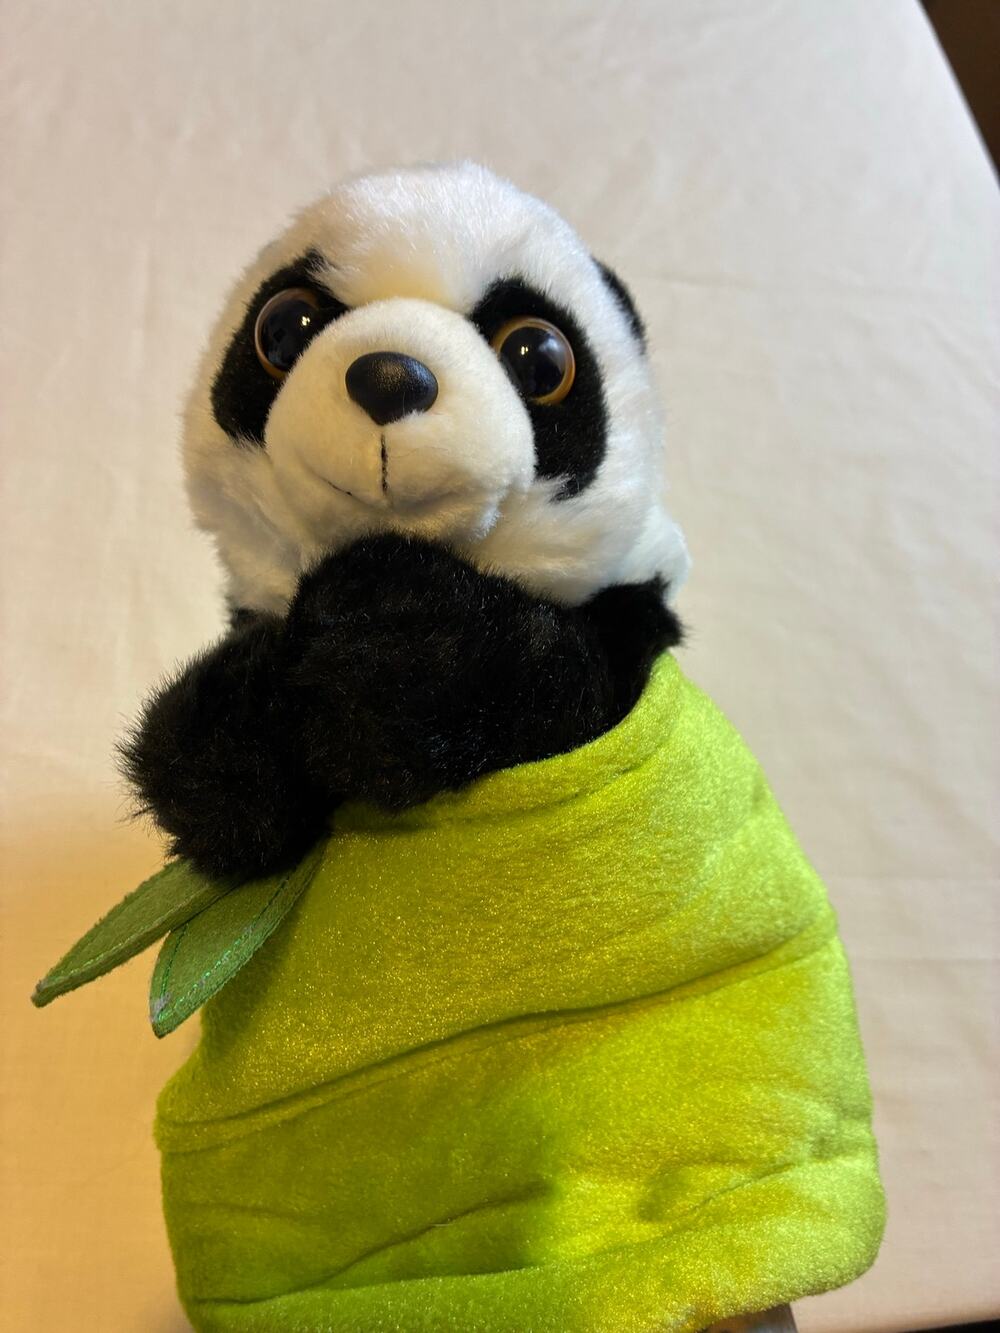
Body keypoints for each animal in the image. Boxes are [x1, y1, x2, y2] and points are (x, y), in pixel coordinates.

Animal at [123, 161, 691, 883]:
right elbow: (204, 771)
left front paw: (393, 649)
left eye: (541, 358)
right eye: (282, 328)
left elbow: (552, 678)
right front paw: (240, 737)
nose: (391, 377)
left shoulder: (625, 630)